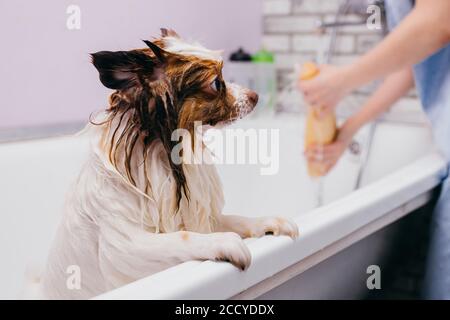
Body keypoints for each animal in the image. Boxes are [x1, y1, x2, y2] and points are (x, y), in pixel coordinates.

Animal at [37, 28, 298, 298]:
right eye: (217, 83)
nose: (255, 96)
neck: (161, 159)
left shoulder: (199, 215)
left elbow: (233, 218)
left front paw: (266, 222)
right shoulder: (123, 247)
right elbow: (183, 237)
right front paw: (222, 241)